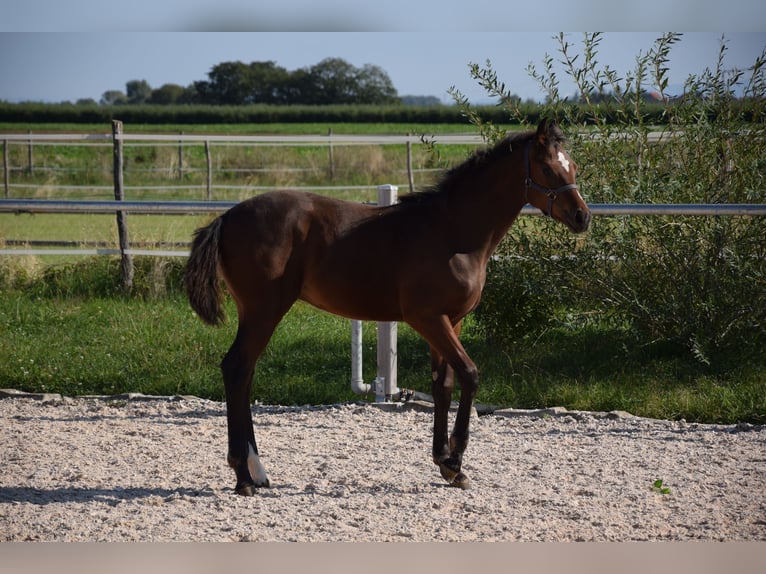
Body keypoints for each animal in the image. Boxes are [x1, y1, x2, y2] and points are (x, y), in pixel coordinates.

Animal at [183, 119, 592, 498]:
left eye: (572, 166)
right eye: (547, 168)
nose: (582, 217)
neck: (452, 232)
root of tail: (228, 217)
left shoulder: (451, 321)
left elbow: (443, 384)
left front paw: (444, 462)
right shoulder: (428, 319)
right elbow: (470, 374)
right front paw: (456, 460)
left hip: (258, 313)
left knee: (245, 372)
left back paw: (257, 470)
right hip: (264, 310)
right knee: (237, 368)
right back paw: (243, 475)